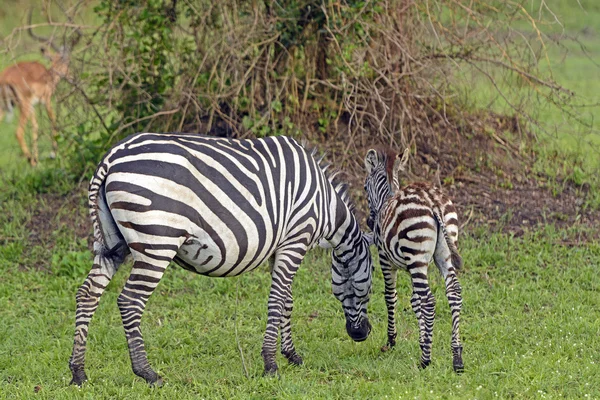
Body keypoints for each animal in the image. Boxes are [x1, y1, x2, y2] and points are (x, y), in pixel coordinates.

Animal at [0, 9, 80, 166]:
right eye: (67, 61)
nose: (73, 77)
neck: (48, 75)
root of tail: (5, 78)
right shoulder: (46, 100)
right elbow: (53, 120)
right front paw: (52, 154)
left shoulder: (33, 106)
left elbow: (35, 127)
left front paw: (37, 158)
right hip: (22, 106)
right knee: (18, 132)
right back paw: (30, 160)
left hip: (6, 107)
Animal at [68, 133, 372, 386]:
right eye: (368, 287)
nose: (363, 334)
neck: (325, 204)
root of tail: (111, 157)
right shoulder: (296, 238)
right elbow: (277, 301)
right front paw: (271, 364)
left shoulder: (280, 247)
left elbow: (287, 300)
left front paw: (291, 355)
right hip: (157, 242)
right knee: (130, 301)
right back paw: (147, 373)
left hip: (114, 242)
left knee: (88, 293)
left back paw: (78, 372)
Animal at [360, 147, 464, 372]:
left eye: (364, 187)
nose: (370, 222)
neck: (386, 199)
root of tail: (432, 200)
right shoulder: (412, 266)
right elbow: (415, 301)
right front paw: (423, 339)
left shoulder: (386, 261)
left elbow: (391, 297)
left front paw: (392, 340)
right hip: (444, 253)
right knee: (453, 293)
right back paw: (457, 357)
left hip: (416, 255)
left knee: (430, 300)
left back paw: (425, 360)